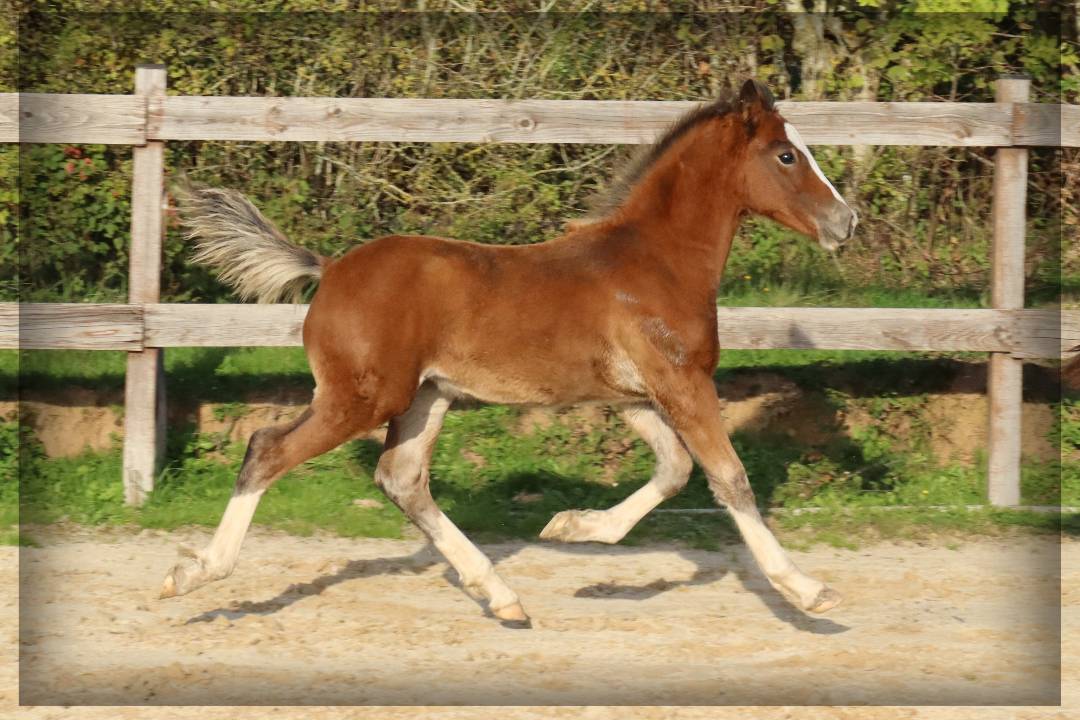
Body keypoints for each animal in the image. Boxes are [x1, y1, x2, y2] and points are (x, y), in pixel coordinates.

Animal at [160, 79, 857, 628]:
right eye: (787, 154)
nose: (845, 222)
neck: (653, 262)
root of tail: (328, 269)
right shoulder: (683, 382)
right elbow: (728, 477)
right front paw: (808, 591)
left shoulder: (634, 395)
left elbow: (674, 470)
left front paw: (574, 528)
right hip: (361, 397)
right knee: (267, 450)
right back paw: (195, 574)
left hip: (426, 397)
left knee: (401, 479)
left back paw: (500, 595)